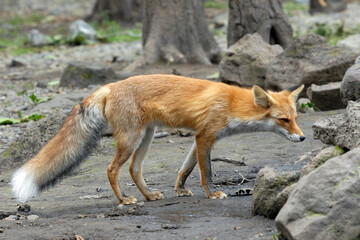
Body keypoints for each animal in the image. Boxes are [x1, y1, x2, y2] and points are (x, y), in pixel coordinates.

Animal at [10, 74, 304, 203]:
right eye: (283, 120)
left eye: (296, 117)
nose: (302, 138)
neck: (231, 105)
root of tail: (111, 86)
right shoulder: (205, 136)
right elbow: (206, 172)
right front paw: (212, 193)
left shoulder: (200, 138)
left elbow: (186, 169)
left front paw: (180, 190)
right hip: (132, 139)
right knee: (112, 169)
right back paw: (124, 200)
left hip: (146, 137)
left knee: (134, 169)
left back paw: (150, 195)